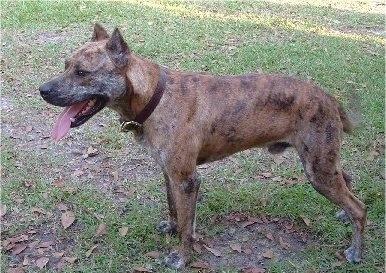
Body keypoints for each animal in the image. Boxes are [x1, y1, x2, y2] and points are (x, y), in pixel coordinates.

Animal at [40, 23, 366, 268]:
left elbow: (188, 227)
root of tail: (328, 98)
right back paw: (343, 215)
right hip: (322, 162)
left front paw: (181, 258)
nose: (42, 90)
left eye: (82, 73)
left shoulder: (186, 180)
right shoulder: (170, 175)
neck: (155, 96)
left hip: (317, 168)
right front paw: (171, 228)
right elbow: (175, 211)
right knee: (348, 180)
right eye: (66, 65)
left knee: (359, 207)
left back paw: (356, 250)